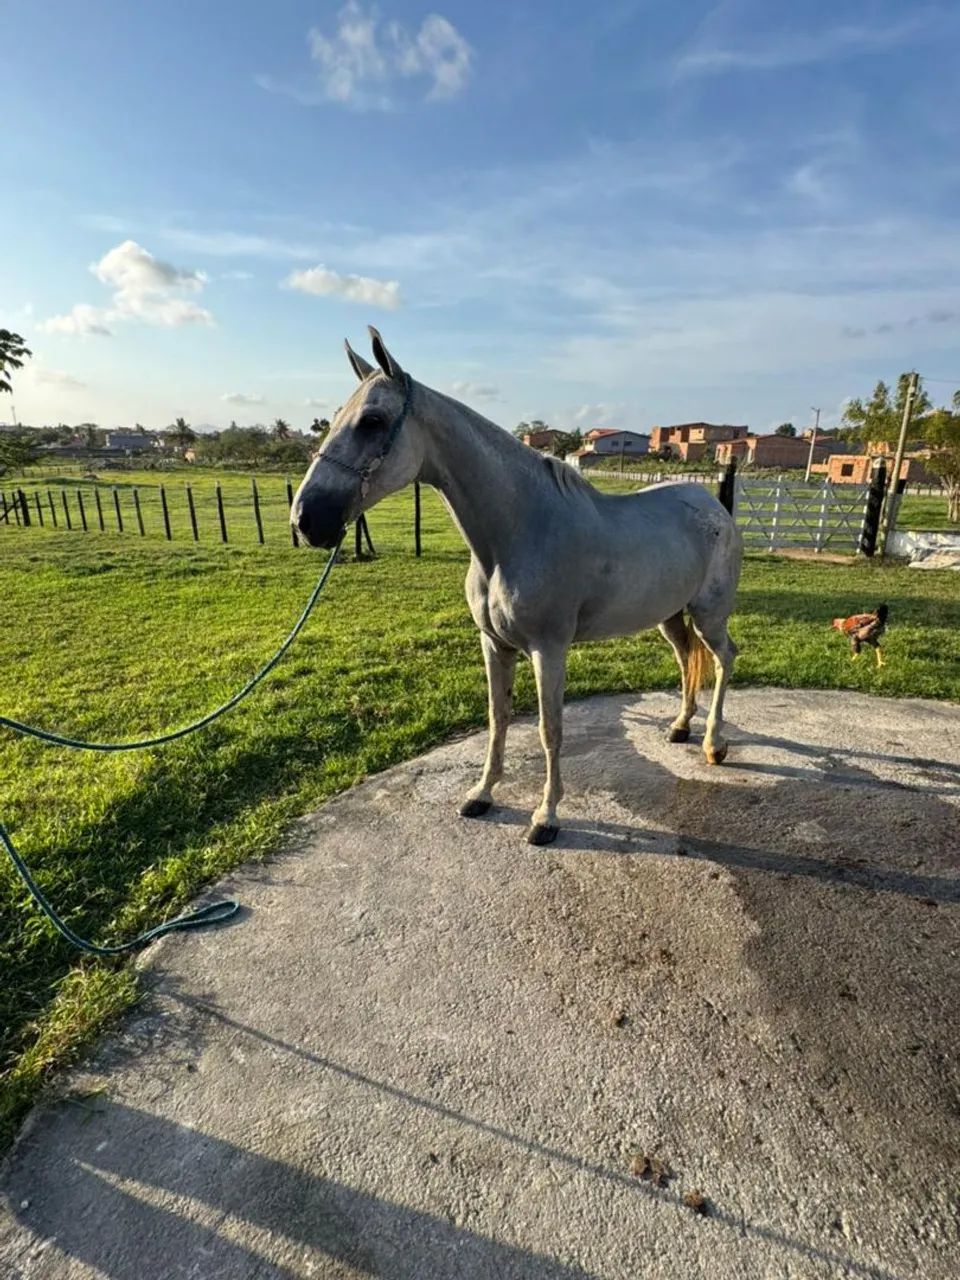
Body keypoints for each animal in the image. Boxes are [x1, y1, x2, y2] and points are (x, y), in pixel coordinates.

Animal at [292, 327, 742, 846]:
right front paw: (481, 794)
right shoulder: (494, 645)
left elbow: (550, 729)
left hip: (710, 614)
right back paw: (680, 727)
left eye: (372, 420)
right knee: (687, 657)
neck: (518, 533)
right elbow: (498, 717)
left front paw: (546, 816)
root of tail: (713, 505)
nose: (306, 519)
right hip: (670, 616)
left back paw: (713, 743)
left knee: (723, 658)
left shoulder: (549, 650)